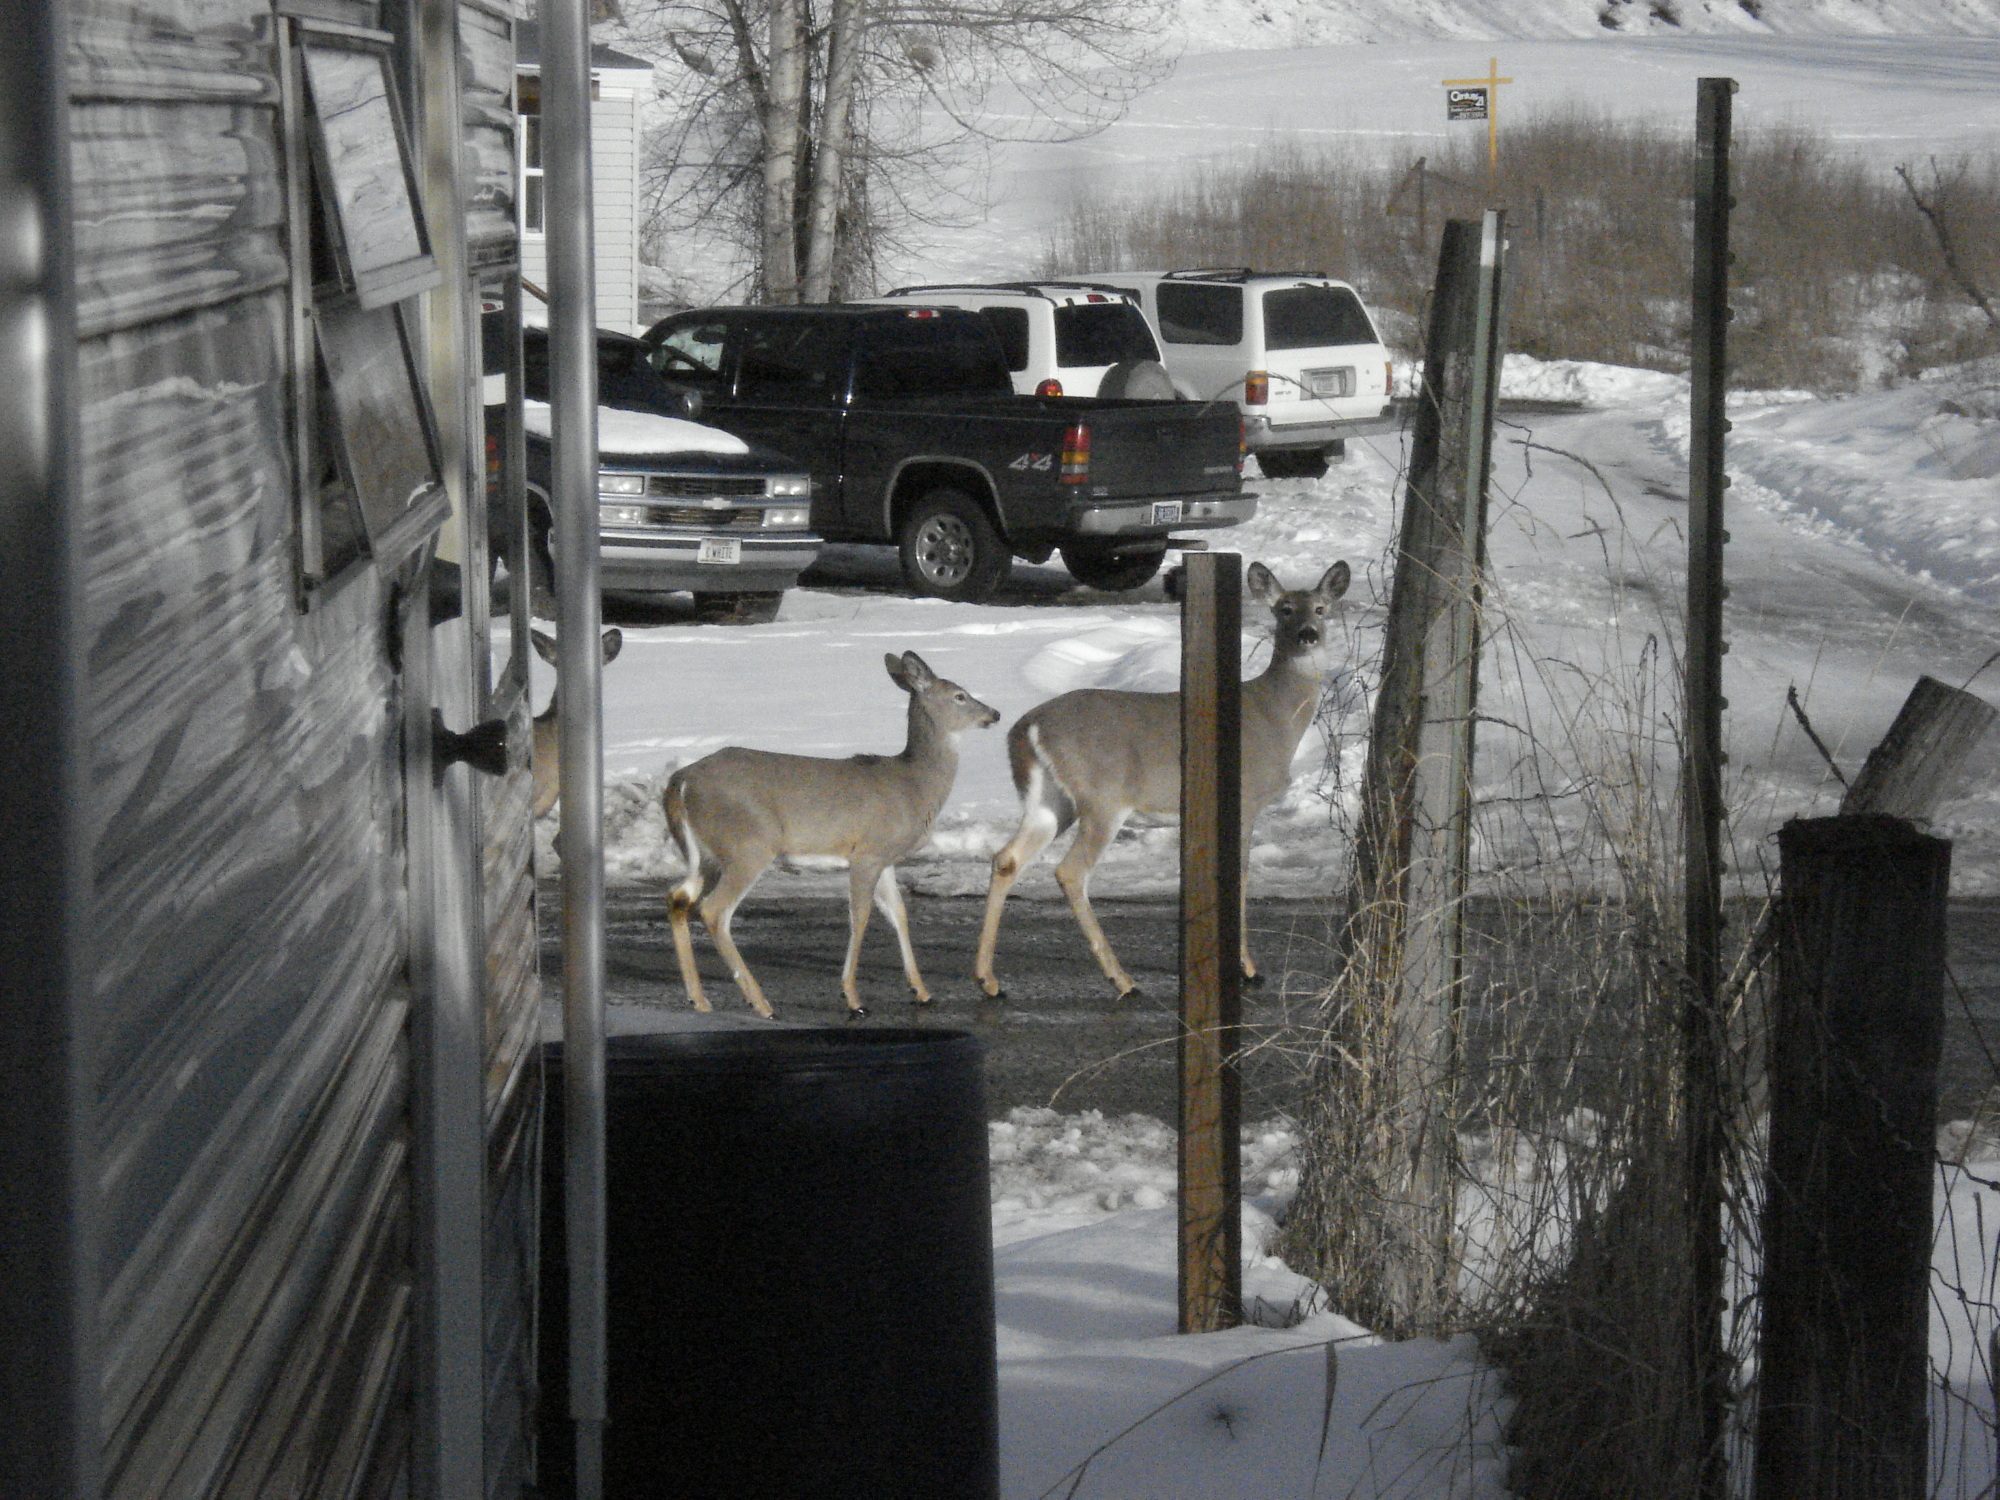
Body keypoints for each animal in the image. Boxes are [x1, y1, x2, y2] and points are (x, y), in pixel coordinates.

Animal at [665, 651, 1000, 1019]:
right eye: (960, 695)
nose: (995, 714)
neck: (913, 786)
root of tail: (680, 781)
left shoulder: (885, 858)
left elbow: (899, 913)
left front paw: (922, 991)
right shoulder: (867, 851)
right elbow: (860, 917)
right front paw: (853, 997)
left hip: (707, 854)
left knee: (678, 898)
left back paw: (699, 999)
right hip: (748, 845)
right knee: (713, 910)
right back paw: (761, 1003)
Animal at [974, 559, 1351, 1001]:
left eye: (1321, 608)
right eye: (1284, 610)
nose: (1308, 633)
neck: (1273, 716)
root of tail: (1028, 727)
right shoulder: (1244, 797)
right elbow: (1240, 878)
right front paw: (1248, 969)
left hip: (1049, 799)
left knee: (1007, 858)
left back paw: (988, 979)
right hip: (1103, 796)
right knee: (1070, 871)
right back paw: (1122, 980)